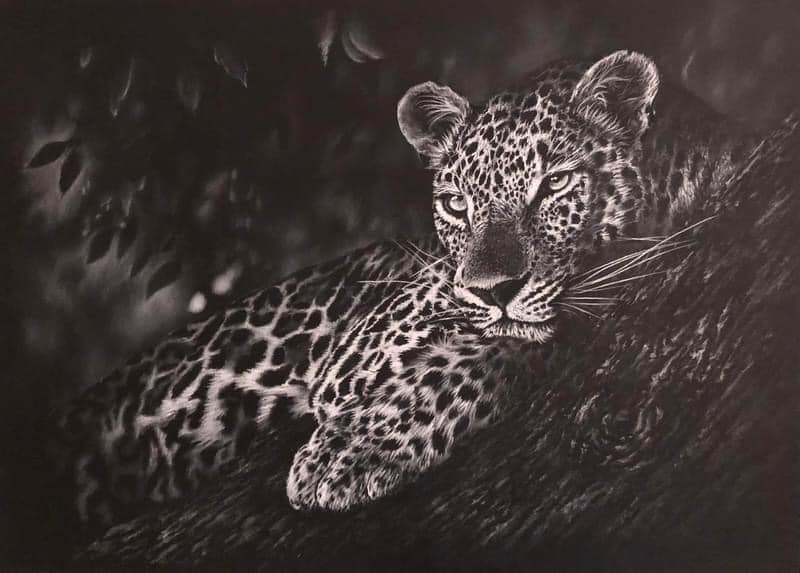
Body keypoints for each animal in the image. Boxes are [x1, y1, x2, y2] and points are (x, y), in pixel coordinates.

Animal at [53, 50, 756, 530]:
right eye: (455, 203)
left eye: (554, 185)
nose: (493, 289)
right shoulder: (360, 346)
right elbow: (486, 334)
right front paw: (345, 447)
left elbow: (503, 345)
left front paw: (350, 452)